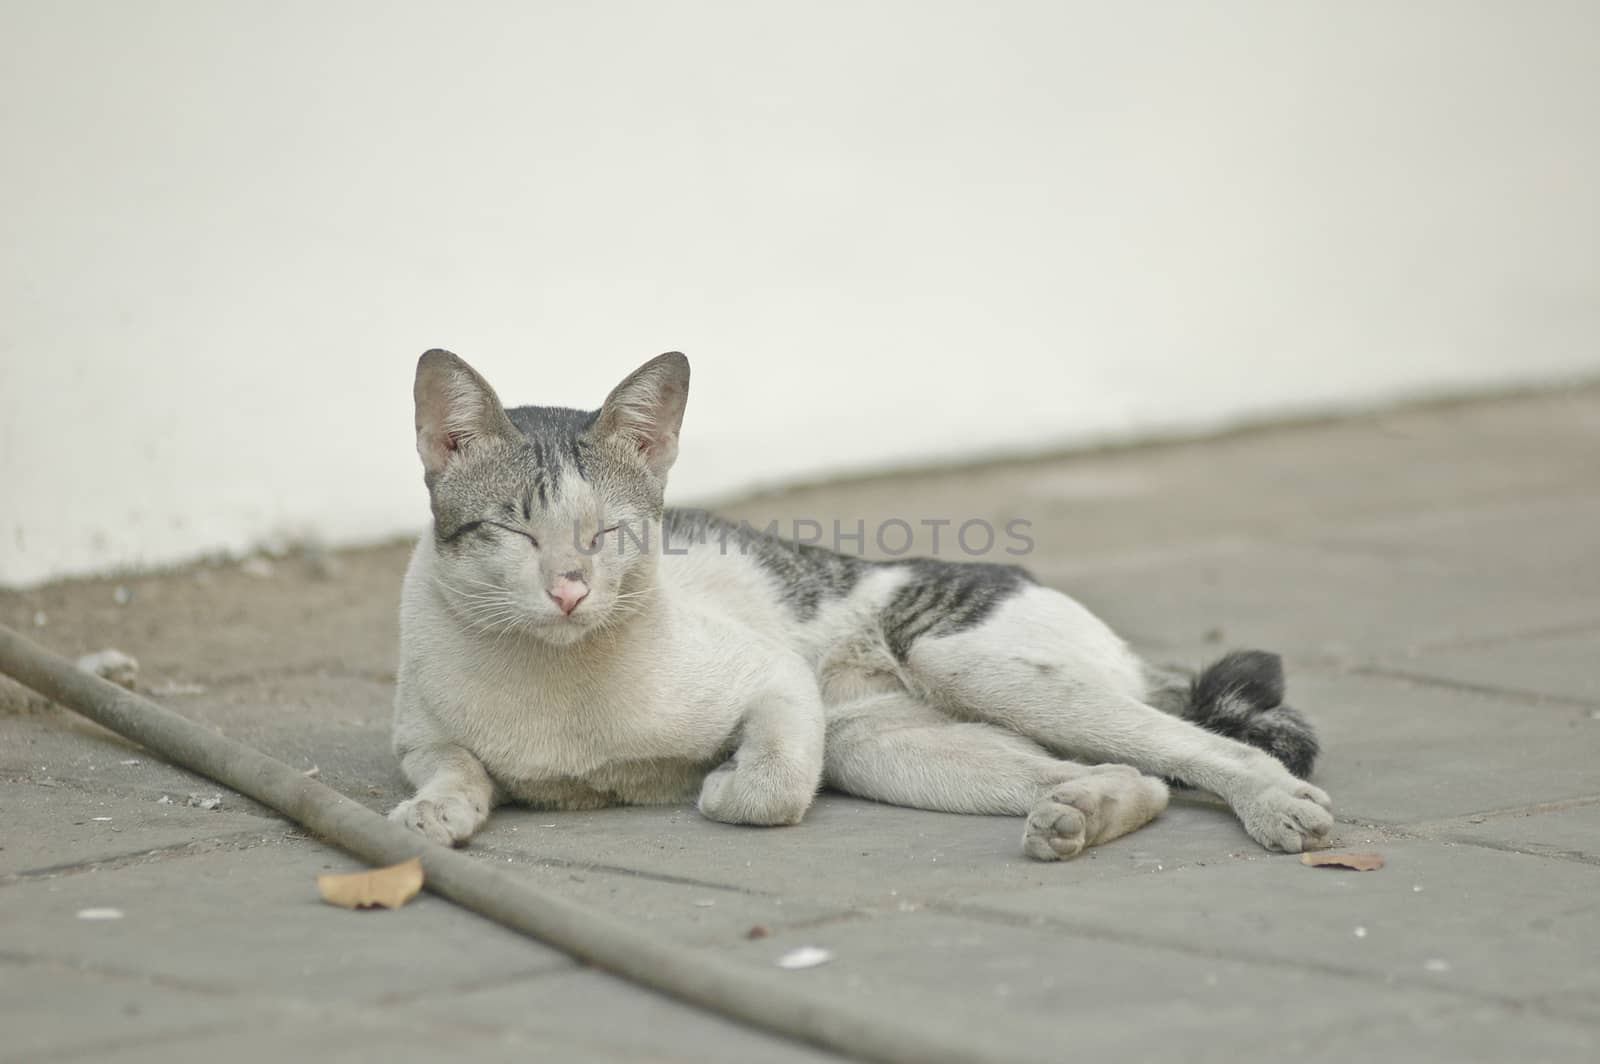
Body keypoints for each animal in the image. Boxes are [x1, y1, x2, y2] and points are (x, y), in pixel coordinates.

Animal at [384, 348, 1324, 857]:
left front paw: (722, 787)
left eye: (611, 533)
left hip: (960, 659)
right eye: (515, 531)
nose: (570, 587)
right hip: (883, 744)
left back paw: (1273, 805)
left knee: (1207, 747)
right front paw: (439, 808)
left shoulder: (775, 681)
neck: (559, 683)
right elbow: (454, 762)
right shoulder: (417, 738)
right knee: (1136, 775)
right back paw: (1081, 817)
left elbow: (773, 788)